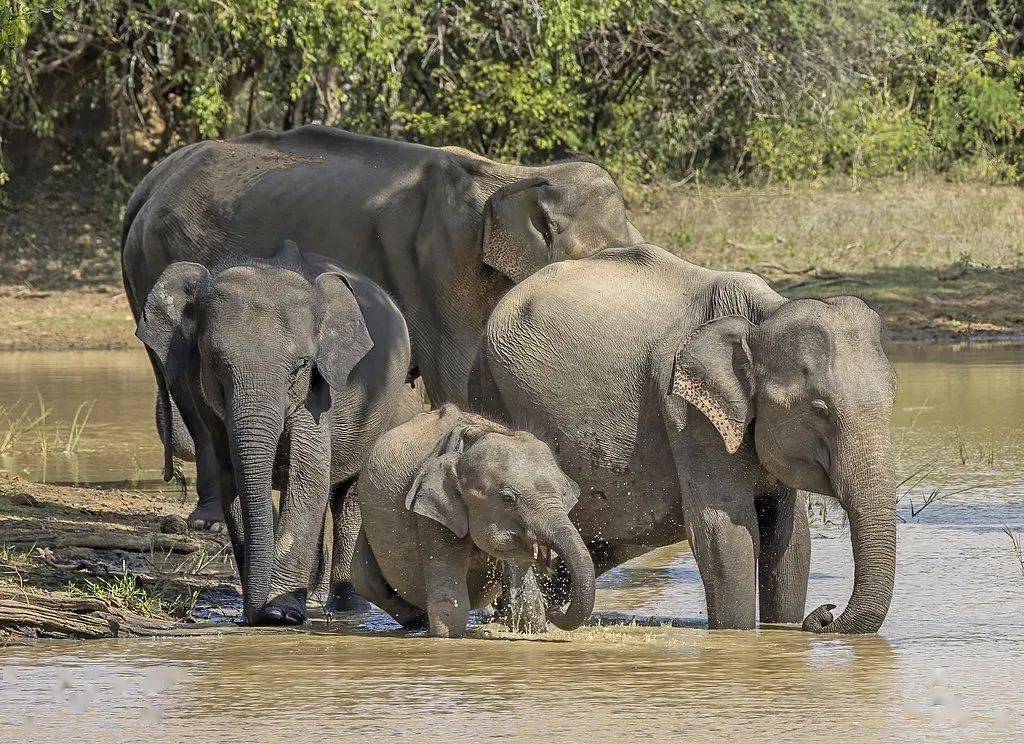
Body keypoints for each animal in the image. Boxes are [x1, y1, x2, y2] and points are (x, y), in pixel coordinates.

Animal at [121, 125, 638, 528]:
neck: (512, 174)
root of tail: (150, 183)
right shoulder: (438, 267)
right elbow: (455, 377)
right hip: (156, 260)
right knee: (185, 386)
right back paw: (207, 520)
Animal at [135, 242, 407, 622]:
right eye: (214, 363)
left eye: (300, 366)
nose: (253, 614)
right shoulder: (204, 395)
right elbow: (232, 475)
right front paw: (264, 610)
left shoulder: (319, 392)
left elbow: (306, 474)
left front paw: (280, 613)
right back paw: (317, 598)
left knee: (347, 497)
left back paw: (345, 609)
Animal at [352, 405, 598, 638]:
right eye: (508, 499)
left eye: (564, 494)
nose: (556, 609)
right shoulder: (433, 515)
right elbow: (451, 601)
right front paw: (446, 635)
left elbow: (524, 593)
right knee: (366, 582)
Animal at [468, 244, 897, 634]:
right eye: (819, 409)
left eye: (894, 396)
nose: (824, 614)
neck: (763, 315)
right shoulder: (685, 412)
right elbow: (725, 533)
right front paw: (738, 636)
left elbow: (790, 538)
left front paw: (783, 628)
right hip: (490, 387)